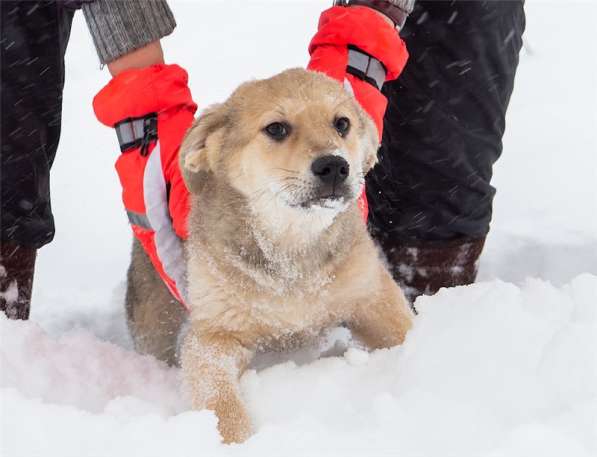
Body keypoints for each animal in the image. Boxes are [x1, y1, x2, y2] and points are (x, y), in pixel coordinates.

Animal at [124, 67, 414, 442]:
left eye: (342, 123)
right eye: (276, 128)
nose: (334, 166)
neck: (291, 255)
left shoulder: (372, 296)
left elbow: (407, 330)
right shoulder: (212, 337)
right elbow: (221, 405)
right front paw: (237, 442)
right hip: (152, 322)